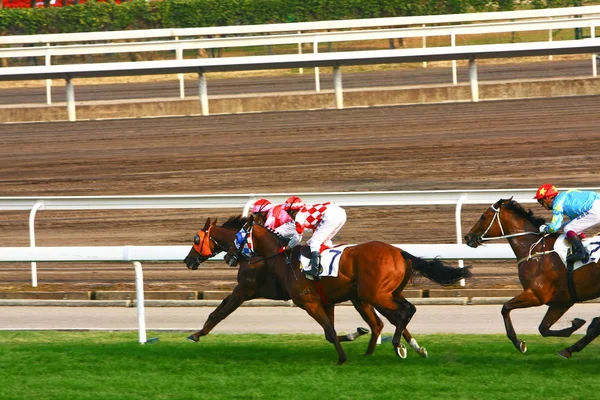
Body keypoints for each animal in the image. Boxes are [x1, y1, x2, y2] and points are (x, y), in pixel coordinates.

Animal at [223, 217, 472, 364]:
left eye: (237, 237)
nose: (228, 256)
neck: (285, 260)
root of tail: (400, 252)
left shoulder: (309, 303)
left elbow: (330, 332)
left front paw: (342, 358)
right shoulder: (325, 301)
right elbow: (330, 331)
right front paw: (353, 338)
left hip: (375, 294)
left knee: (405, 311)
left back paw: (396, 345)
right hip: (382, 294)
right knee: (392, 317)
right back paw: (381, 351)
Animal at [464, 198, 600, 358]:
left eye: (483, 217)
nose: (468, 237)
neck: (534, 249)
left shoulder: (537, 295)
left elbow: (505, 308)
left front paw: (519, 343)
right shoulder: (562, 301)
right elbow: (543, 328)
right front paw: (576, 325)